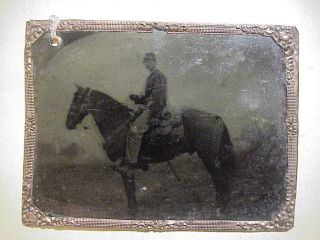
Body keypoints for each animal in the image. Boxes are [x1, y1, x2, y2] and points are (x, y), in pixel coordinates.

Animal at [65, 85, 235, 215]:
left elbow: (129, 189)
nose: (68, 123)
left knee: (219, 179)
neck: (118, 123)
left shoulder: (125, 167)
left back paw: (221, 208)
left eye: (77, 100)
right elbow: (131, 189)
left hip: (209, 157)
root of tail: (214, 117)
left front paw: (133, 212)